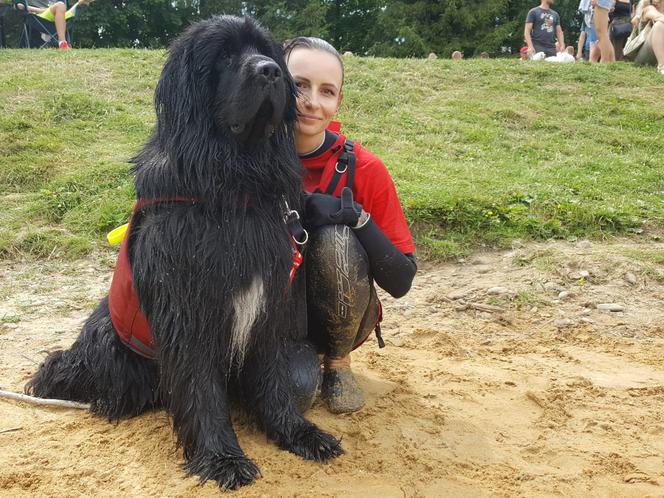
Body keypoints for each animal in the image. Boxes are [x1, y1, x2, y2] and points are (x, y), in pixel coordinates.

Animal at [26, 14, 342, 490]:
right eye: (224, 56)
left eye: (265, 50)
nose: (270, 71)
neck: (236, 181)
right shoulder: (189, 309)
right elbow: (200, 389)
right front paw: (222, 458)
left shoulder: (266, 301)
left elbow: (273, 379)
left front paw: (297, 433)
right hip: (111, 351)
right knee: (67, 372)